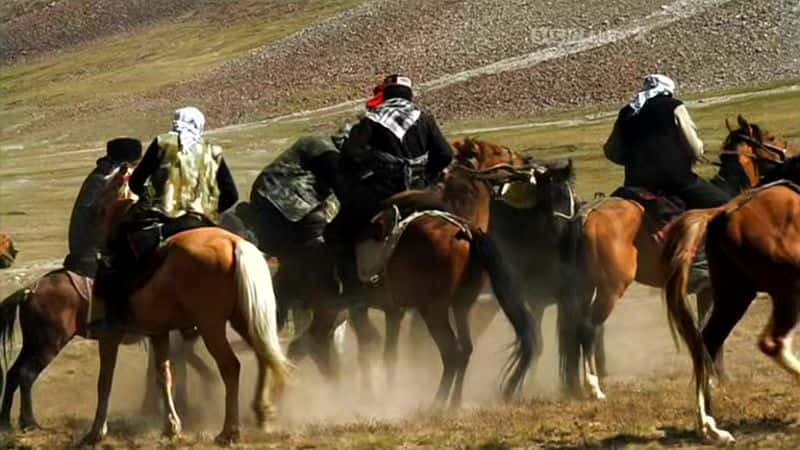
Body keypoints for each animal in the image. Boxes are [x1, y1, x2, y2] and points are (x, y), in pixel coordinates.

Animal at [78, 167, 290, 444]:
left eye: (107, 186)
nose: (90, 210)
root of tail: (235, 245)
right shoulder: (158, 333)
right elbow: (163, 375)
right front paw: (171, 426)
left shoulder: (109, 335)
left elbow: (105, 381)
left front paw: (96, 431)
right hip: (244, 319)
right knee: (263, 355)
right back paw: (262, 412)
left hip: (211, 326)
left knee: (231, 367)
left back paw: (229, 431)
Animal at [282, 139, 536, 406]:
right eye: (497, 151)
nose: (527, 162)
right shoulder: (395, 310)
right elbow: (386, 352)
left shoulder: (390, 310)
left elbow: (384, 352)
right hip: (433, 309)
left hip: (429, 309)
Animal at [572, 114, 792, 400]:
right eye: (771, 138)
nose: (790, 153)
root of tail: (590, 214)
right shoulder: (716, 290)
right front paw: (715, 379)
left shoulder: (706, 291)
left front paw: (716, 377)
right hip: (612, 287)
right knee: (590, 327)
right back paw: (595, 387)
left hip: (591, 287)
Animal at [664, 173, 800, 442]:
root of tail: (725, 211)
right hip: (787, 288)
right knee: (773, 343)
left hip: (735, 295)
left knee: (706, 344)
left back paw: (710, 428)